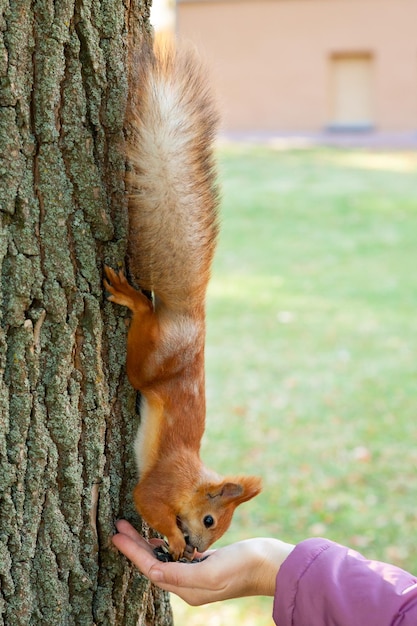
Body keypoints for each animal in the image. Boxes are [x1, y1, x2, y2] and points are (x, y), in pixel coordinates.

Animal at [104, 41, 260, 560]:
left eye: (222, 530)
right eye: (209, 519)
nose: (197, 552)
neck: (193, 477)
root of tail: (190, 319)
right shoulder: (161, 485)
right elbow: (146, 500)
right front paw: (170, 537)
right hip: (150, 361)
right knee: (145, 329)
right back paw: (135, 300)